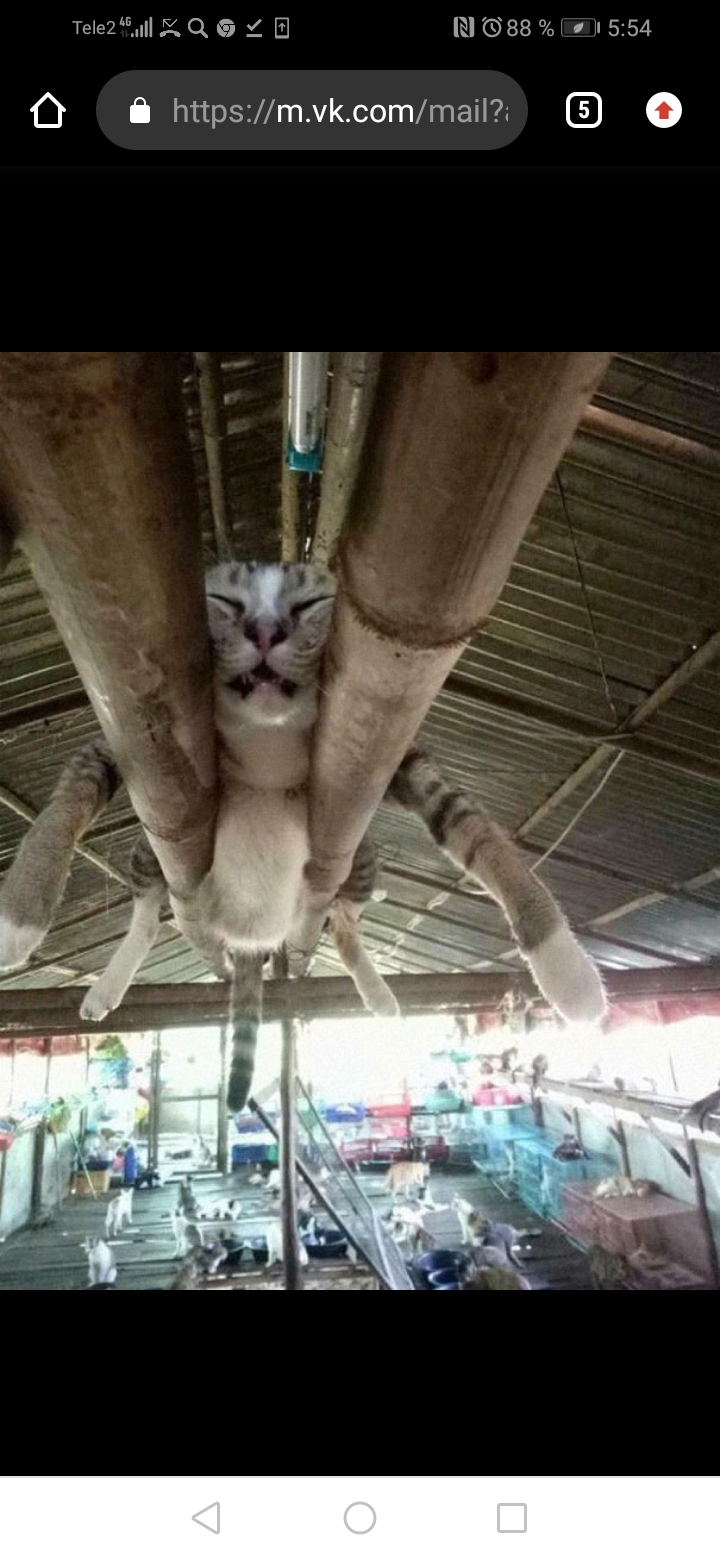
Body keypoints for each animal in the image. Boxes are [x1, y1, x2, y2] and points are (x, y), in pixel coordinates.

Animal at [0, 561, 605, 1114]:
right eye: (225, 600)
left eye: (310, 602)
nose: (266, 631)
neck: (268, 732)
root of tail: (250, 936)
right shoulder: (122, 746)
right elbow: (66, 804)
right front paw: (20, 911)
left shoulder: (403, 767)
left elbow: (475, 831)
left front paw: (564, 966)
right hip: (153, 848)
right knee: (149, 908)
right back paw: (108, 985)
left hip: (358, 855)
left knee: (346, 920)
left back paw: (378, 991)